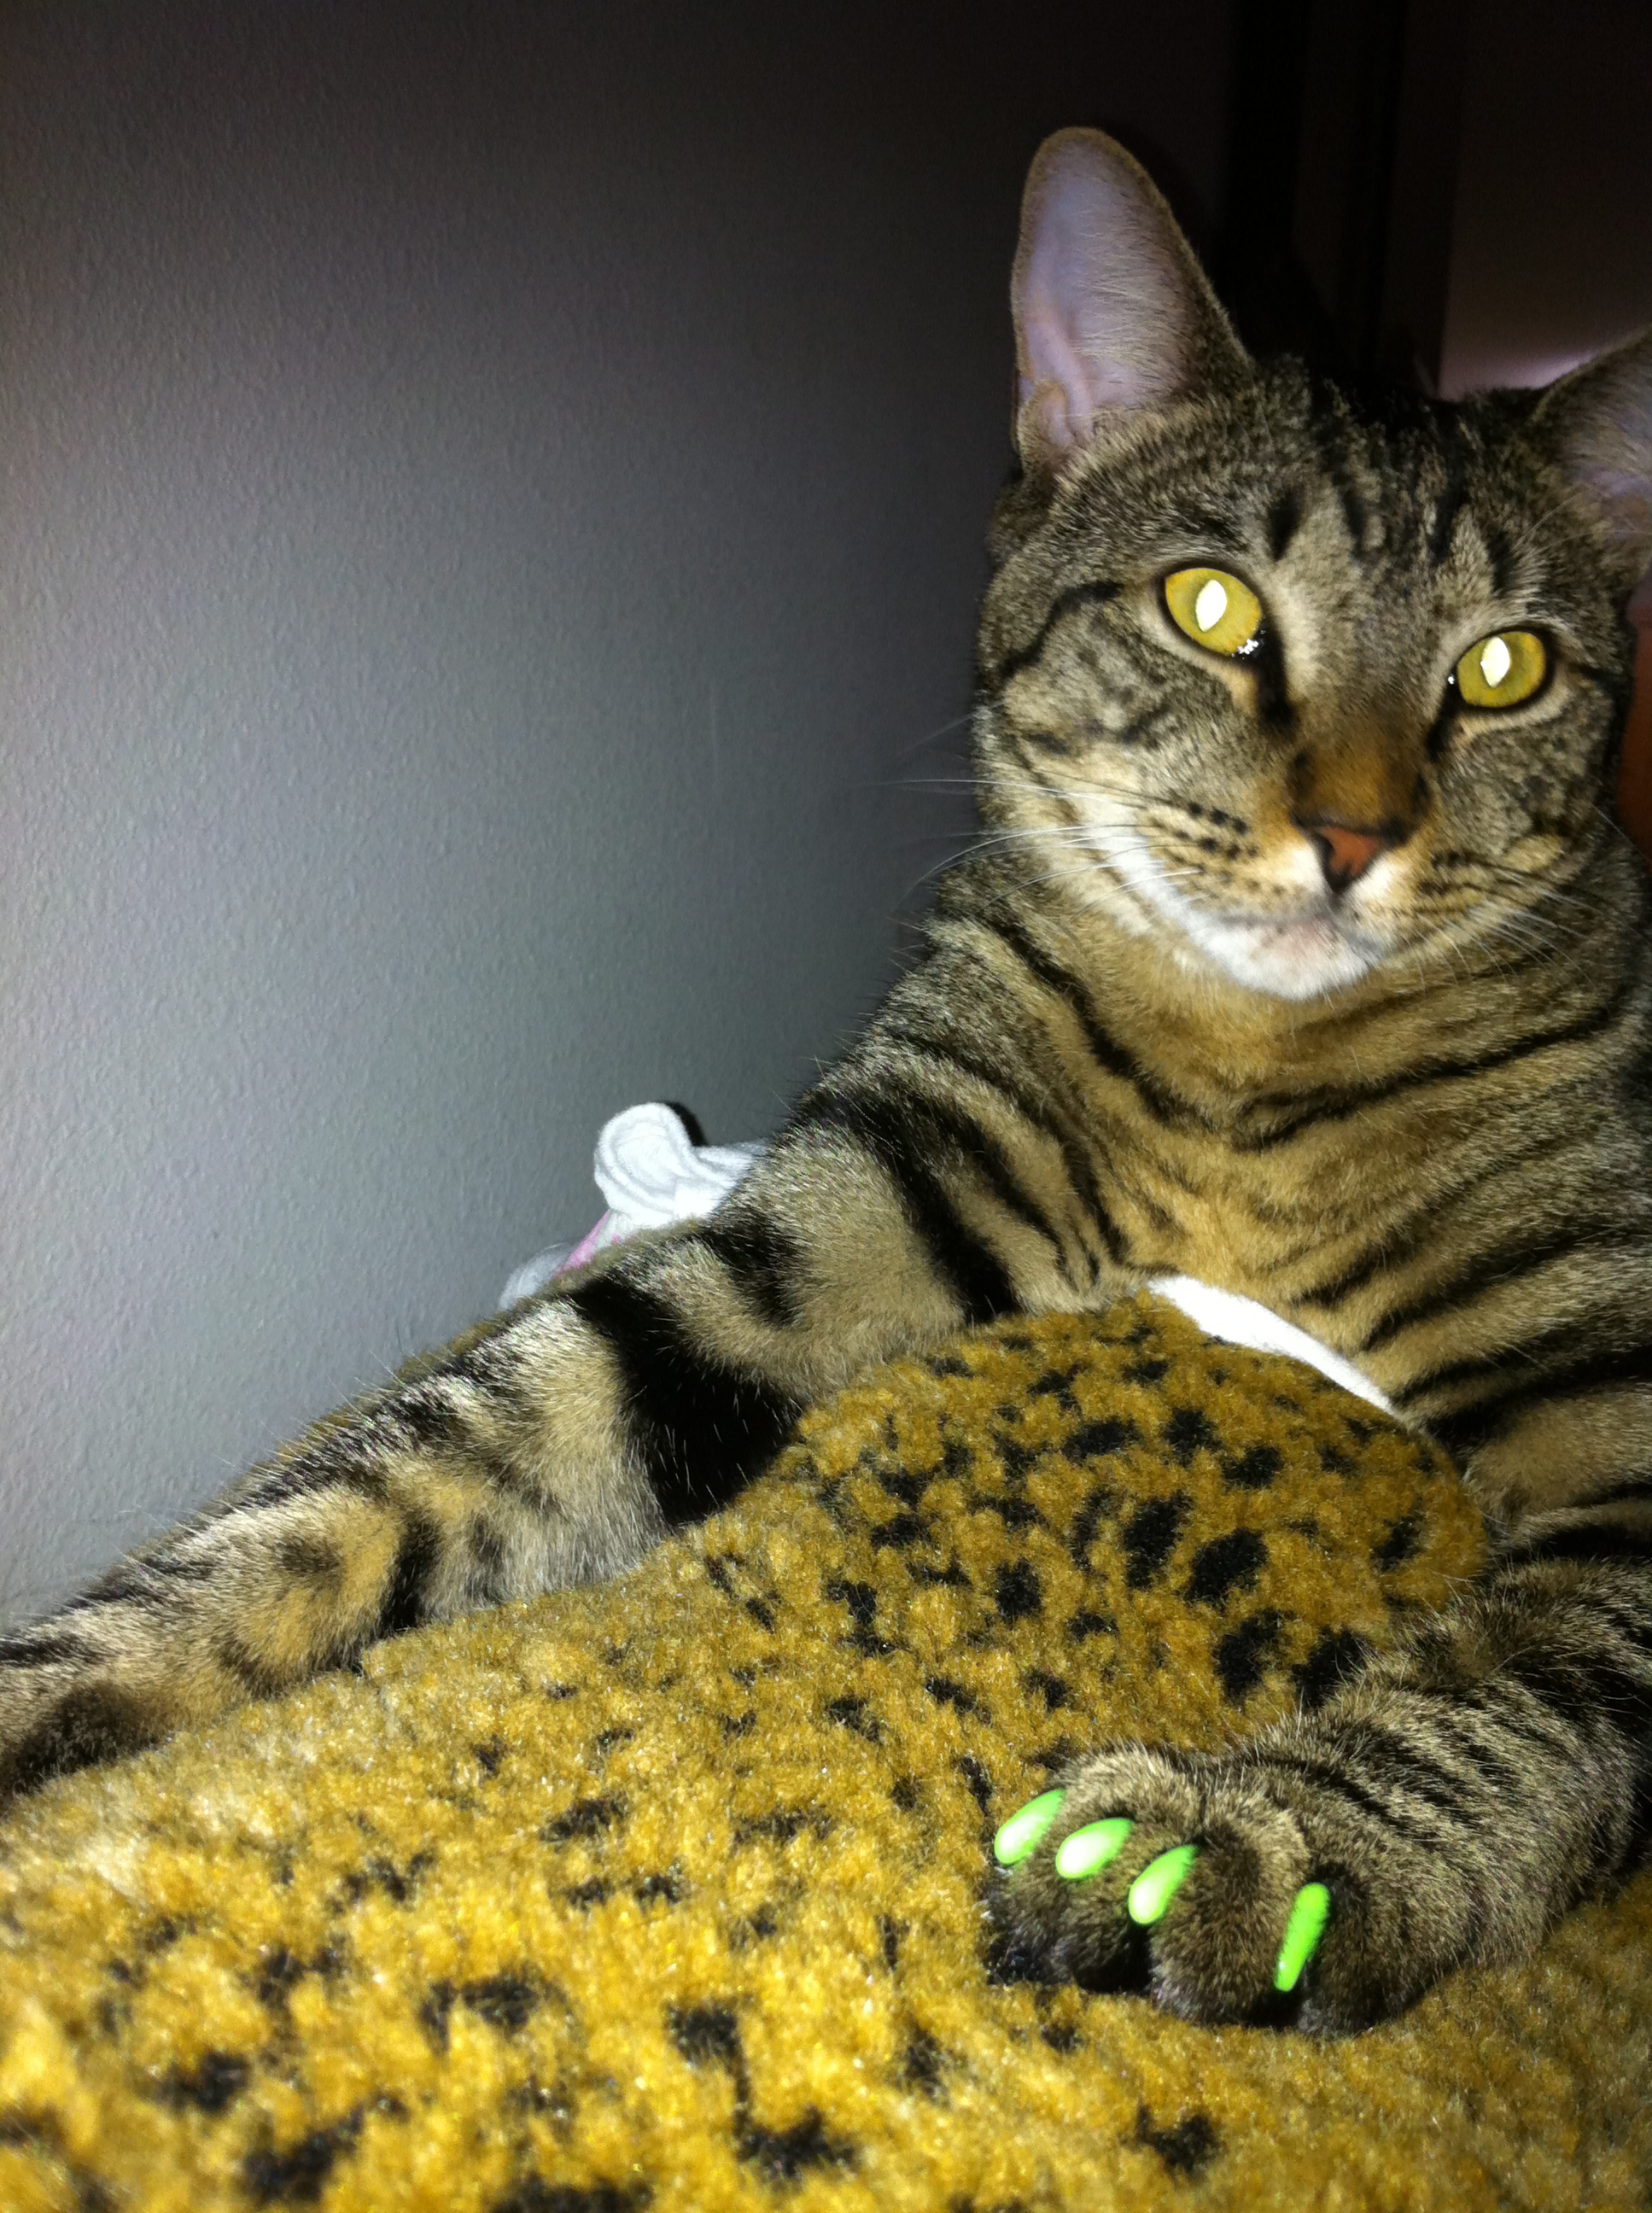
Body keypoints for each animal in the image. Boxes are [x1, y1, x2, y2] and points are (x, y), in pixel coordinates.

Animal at [5, 127, 1652, 2036]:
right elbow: (400, 1469)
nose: (1354, 834)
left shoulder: (1624, 1427)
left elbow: (1510, 1698)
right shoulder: (851, 1209)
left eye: (1504, 668)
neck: (1249, 1077)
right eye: (1213, 605)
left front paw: (1256, 1847)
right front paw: (63, 1680)